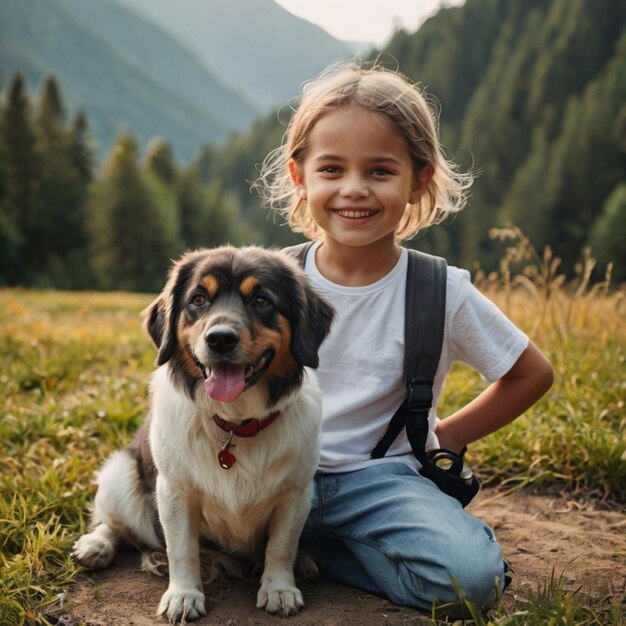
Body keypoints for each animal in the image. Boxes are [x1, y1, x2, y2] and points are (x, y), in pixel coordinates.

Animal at [71, 245, 334, 620]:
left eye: (261, 300)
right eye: (198, 299)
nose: (220, 339)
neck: (235, 423)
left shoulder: (296, 492)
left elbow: (281, 546)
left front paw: (279, 588)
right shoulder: (174, 491)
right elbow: (182, 548)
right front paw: (184, 595)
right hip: (119, 473)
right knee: (117, 524)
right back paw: (96, 545)